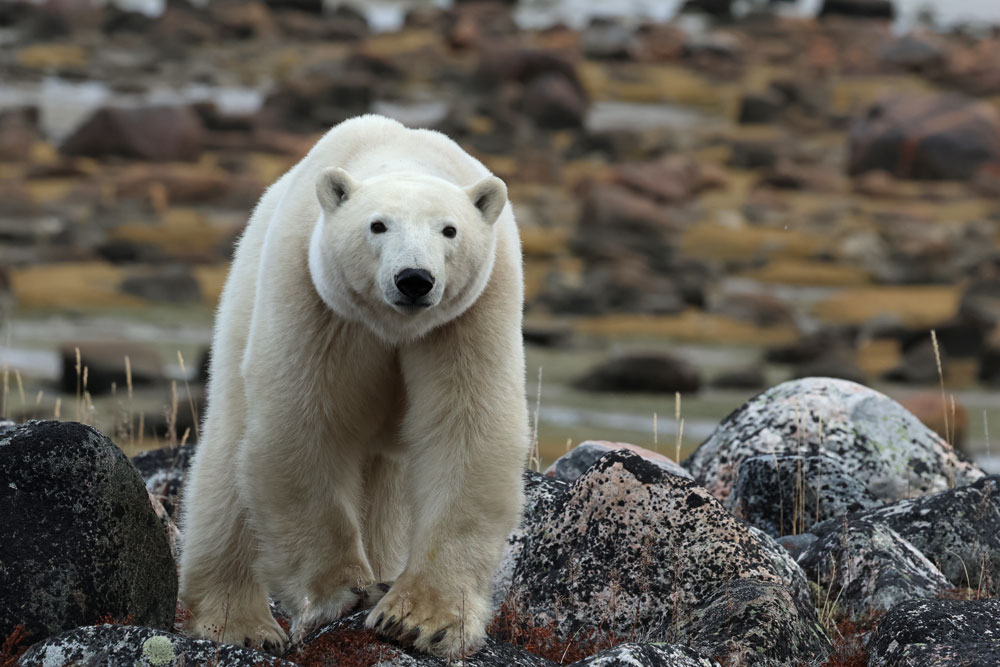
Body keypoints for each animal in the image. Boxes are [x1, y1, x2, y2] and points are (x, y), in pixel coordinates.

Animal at [178, 113, 532, 656]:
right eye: (377, 224)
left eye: (449, 229)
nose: (414, 279)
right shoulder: (315, 297)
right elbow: (305, 423)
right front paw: (345, 591)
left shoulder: (473, 312)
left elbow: (468, 430)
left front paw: (419, 620)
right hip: (242, 308)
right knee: (227, 464)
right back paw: (240, 623)